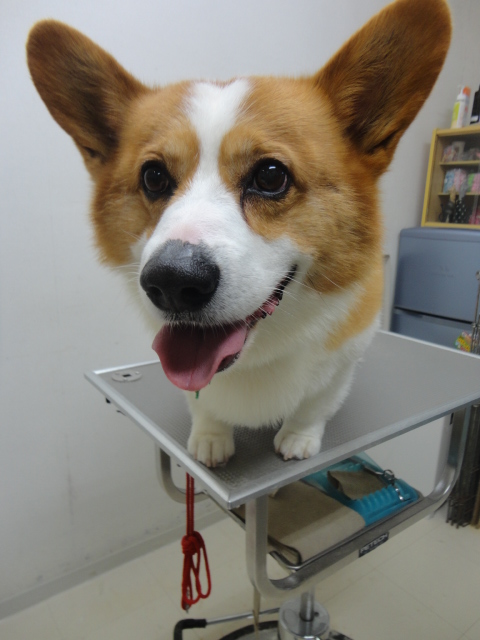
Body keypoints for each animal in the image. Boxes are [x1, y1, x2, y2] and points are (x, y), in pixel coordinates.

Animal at [27, 0, 451, 467]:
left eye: (270, 175)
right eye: (153, 177)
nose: (172, 283)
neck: (256, 355)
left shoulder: (344, 356)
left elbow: (315, 402)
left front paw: (299, 438)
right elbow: (203, 405)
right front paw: (210, 438)